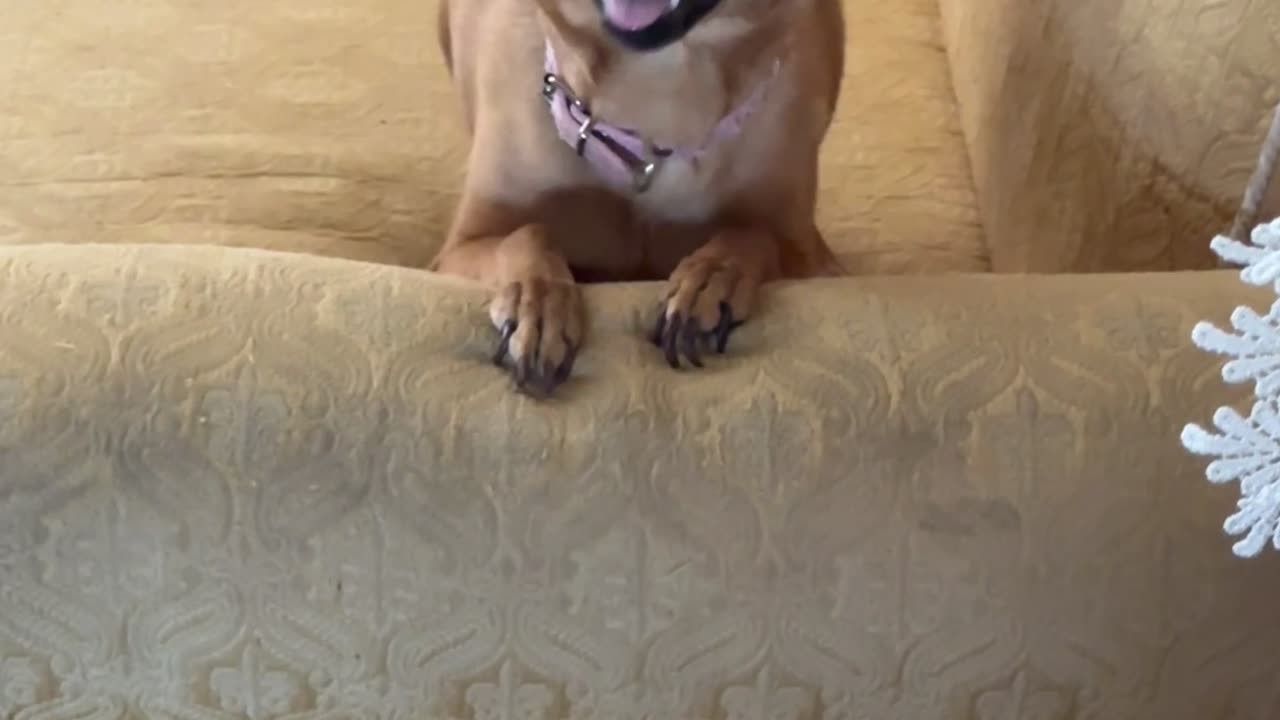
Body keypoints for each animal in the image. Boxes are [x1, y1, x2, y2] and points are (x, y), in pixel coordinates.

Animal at [435, 0, 844, 392]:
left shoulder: (813, 260)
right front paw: (538, 304)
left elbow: (753, 236)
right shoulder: (457, 250)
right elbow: (526, 234)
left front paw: (710, 279)